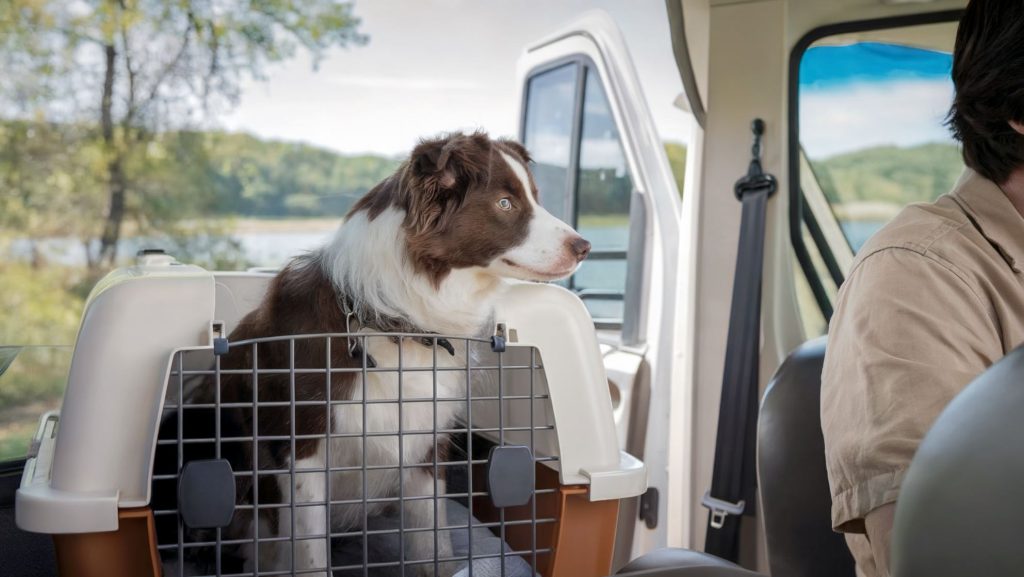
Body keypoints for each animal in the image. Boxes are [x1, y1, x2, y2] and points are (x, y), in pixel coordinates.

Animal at [222, 133, 593, 573]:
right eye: (505, 203)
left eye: (535, 197)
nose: (585, 246)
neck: (398, 323)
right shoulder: (303, 449)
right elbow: (311, 553)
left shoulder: (425, 442)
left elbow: (434, 543)